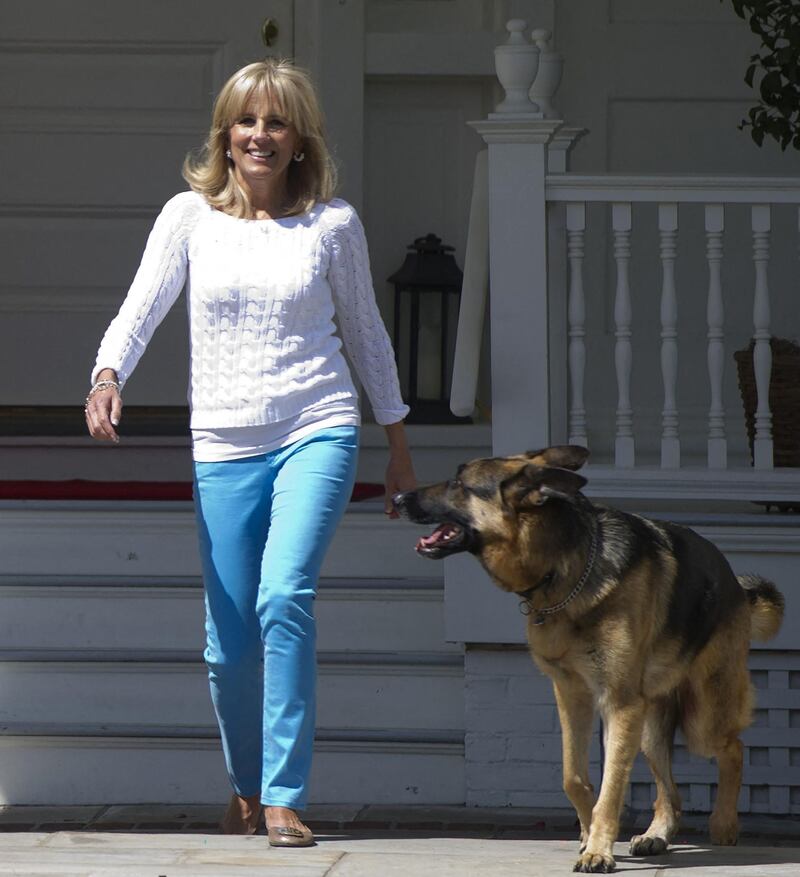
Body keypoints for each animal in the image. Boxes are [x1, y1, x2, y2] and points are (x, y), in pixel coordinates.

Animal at [390, 448, 784, 872]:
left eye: (458, 484)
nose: (395, 499)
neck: (565, 568)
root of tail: (736, 584)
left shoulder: (619, 704)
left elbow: (611, 787)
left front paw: (599, 849)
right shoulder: (571, 695)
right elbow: (574, 778)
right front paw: (587, 835)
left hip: (702, 718)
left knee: (733, 748)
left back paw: (724, 822)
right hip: (649, 727)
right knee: (670, 792)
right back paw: (657, 833)